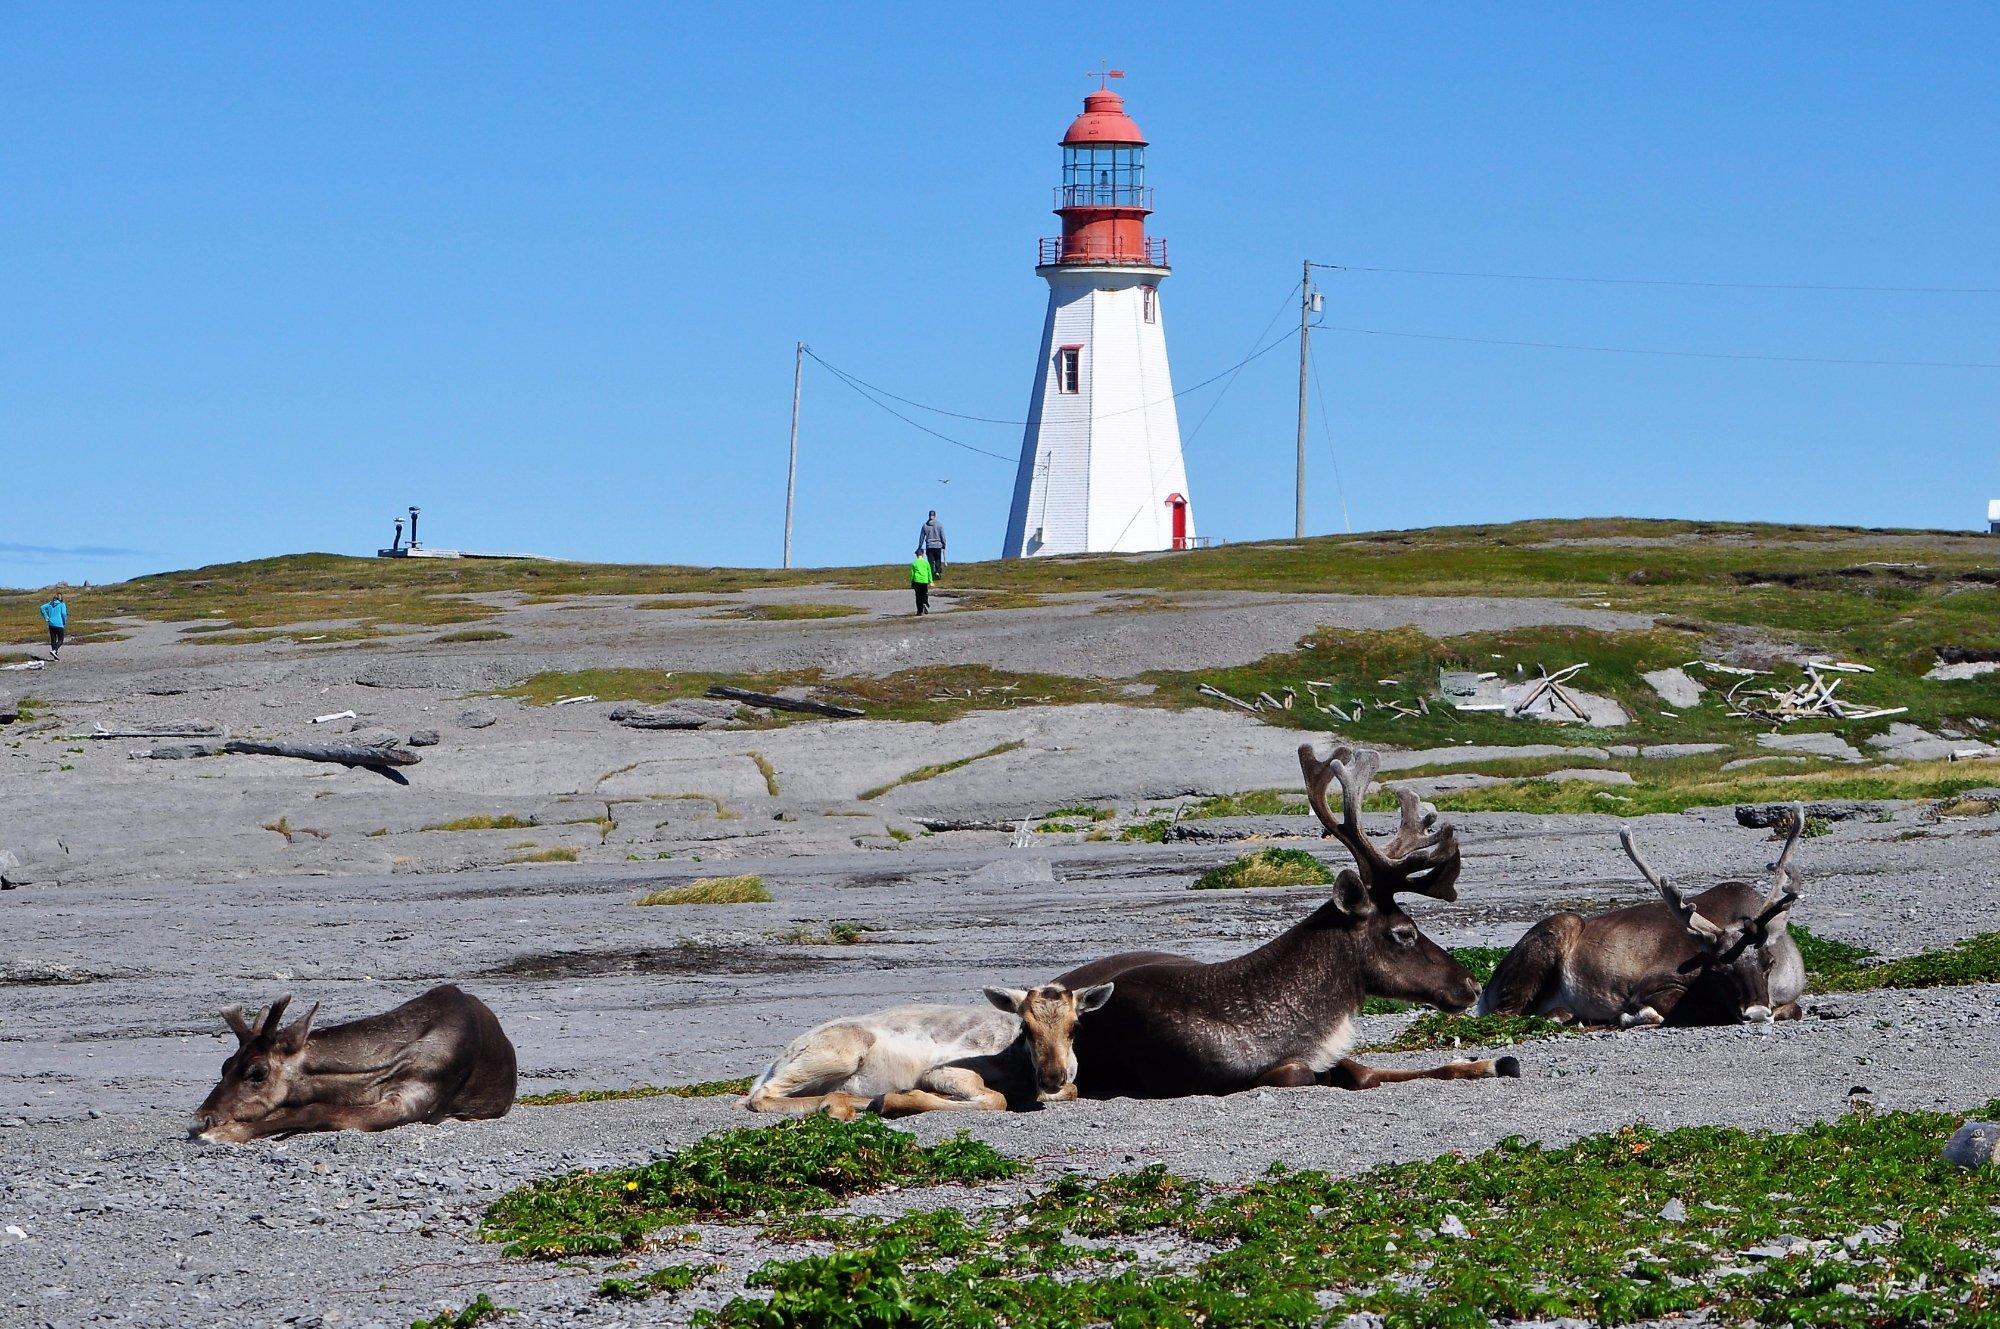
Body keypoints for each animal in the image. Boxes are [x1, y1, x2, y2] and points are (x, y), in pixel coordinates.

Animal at [744, 980, 1112, 1112]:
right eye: (1026, 1026)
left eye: (1075, 1026)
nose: (1051, 1076)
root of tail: (775, 1061)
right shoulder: (941, 1071)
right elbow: (995, 1098)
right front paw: (898, 1099)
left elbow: (1073, 1090)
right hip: (839, 1055)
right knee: (759, 1097)